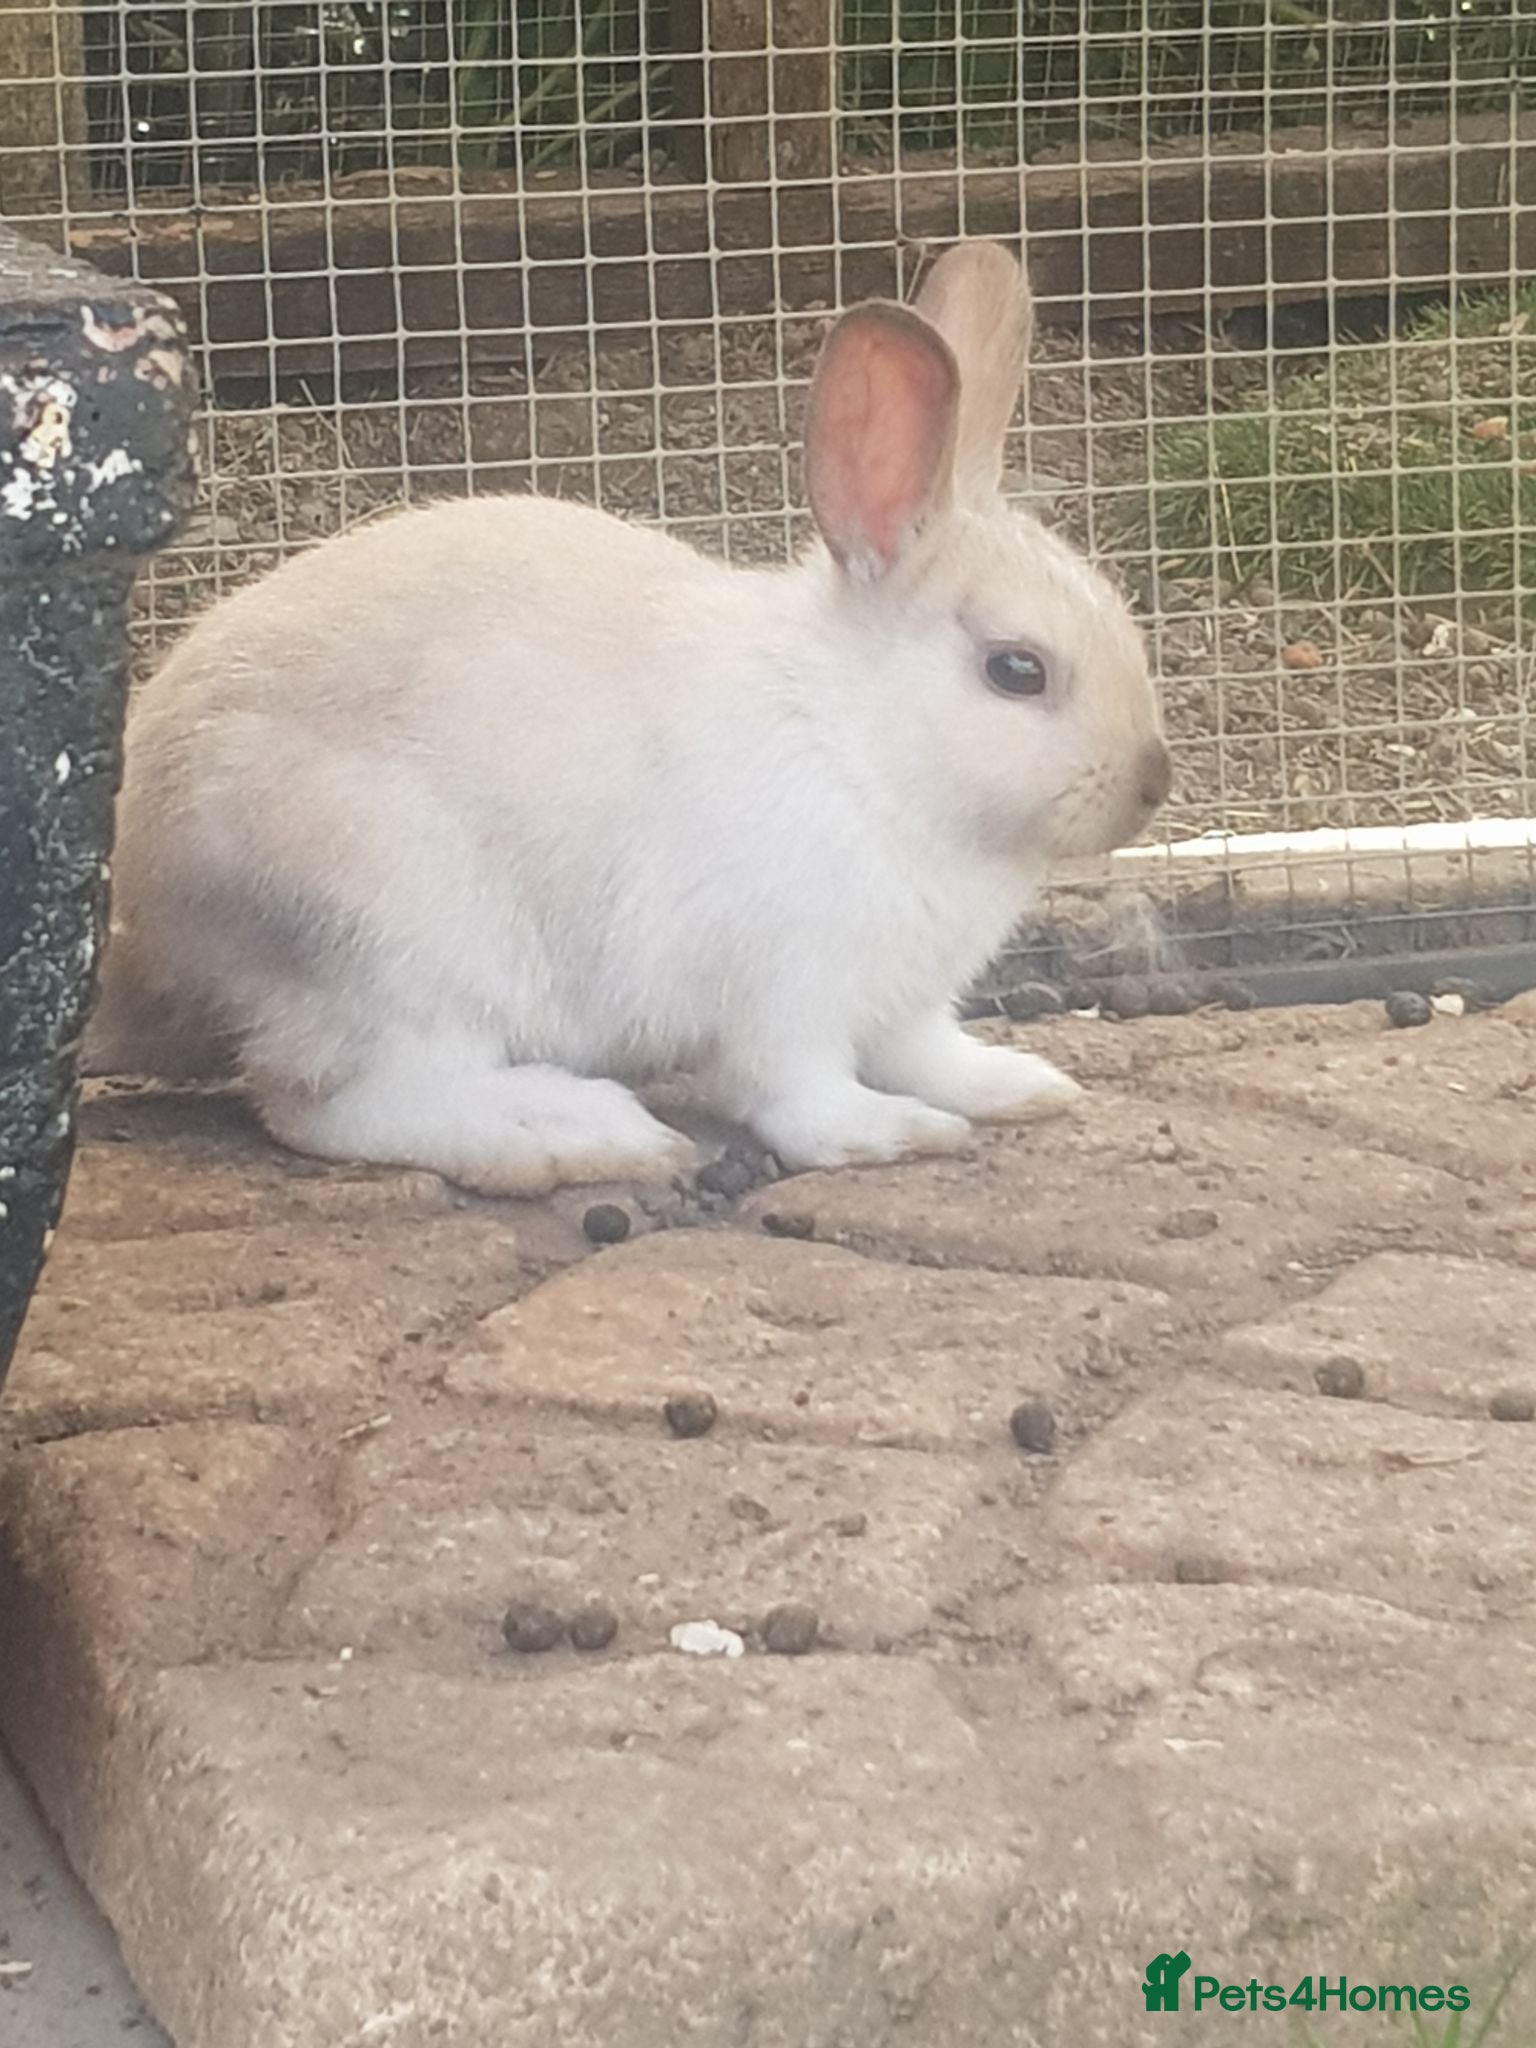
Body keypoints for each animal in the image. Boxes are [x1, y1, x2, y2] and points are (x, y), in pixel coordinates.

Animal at [89, 239, 1171, 1196]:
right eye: (1017, 670)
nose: (1152, 781)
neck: (857, 744)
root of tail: (147, 928)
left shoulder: (910, 1003)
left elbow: (931, 1053)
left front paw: (1021, 1088)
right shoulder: (784, 1000)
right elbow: (799, 1097)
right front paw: (892, 1134)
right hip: (390, 946)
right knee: (328, 1102)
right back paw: (581, 1133)